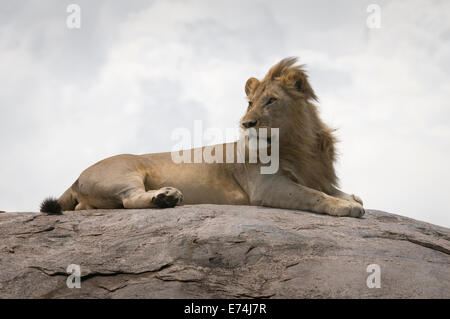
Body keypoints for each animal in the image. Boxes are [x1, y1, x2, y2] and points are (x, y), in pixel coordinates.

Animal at [40, 57, 366, 218]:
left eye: (271, 101)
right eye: (250, 103)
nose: (246, 123)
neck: (300, 143)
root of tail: (77, 177)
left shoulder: (316, 175)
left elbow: (330, 189)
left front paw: (350, 198)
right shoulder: (266, 186)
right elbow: (311, 195)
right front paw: (346, 207)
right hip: (122, 174)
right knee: (129, 200)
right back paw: (166, 197)